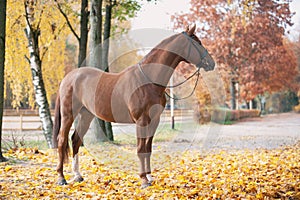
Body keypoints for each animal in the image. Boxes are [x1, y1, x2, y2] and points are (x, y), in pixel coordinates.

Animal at [52, 25, 214, 188]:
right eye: (198, 43)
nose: (211, 63)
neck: (148, 80)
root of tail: (68, 78)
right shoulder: (141, 121)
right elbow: (141, 149)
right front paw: (143, 180)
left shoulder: (154, 121)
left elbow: (148, 148)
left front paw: (149, 177)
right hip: (68, 115)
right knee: (62, 140)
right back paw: (61, 178)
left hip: (86, 115)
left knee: (75, 140)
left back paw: (77, 175)